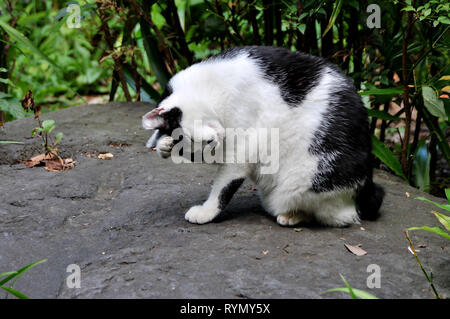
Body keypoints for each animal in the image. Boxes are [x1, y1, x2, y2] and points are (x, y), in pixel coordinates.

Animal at [142, 47, 384, 228]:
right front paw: (163, 146)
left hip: (301, 182)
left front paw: (206, 212)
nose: (214, 141)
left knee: (336, 217)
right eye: (194, 151)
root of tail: (366, 185)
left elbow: (222, 188)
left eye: (203, 141)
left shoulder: (242, 148)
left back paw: (293, 216)